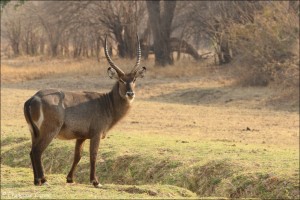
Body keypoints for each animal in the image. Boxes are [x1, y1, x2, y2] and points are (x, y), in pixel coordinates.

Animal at [23, 35, 146, 188]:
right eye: (121, 80)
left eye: (134, 79)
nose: (130, 93)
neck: (107, 103)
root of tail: (33, 98)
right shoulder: (96, 134)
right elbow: (93, 155)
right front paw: (95, 181)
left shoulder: (81, 136)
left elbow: (78, 155)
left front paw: (70, 178)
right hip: (49, 131)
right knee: (37, 151)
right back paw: (43, 180)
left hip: (34, 132)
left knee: (31, 151)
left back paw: (36, 180)